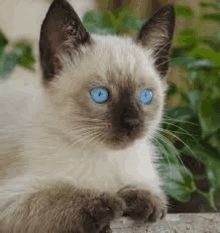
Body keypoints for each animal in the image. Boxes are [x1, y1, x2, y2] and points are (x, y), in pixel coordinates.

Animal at [0, 0, 175, 232]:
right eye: (99, 95)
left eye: (145, 96)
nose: (132, 122)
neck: (105, 157)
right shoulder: (11, 199)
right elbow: (53, 194)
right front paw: (105, 203)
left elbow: (145, 189)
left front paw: (144, 200)